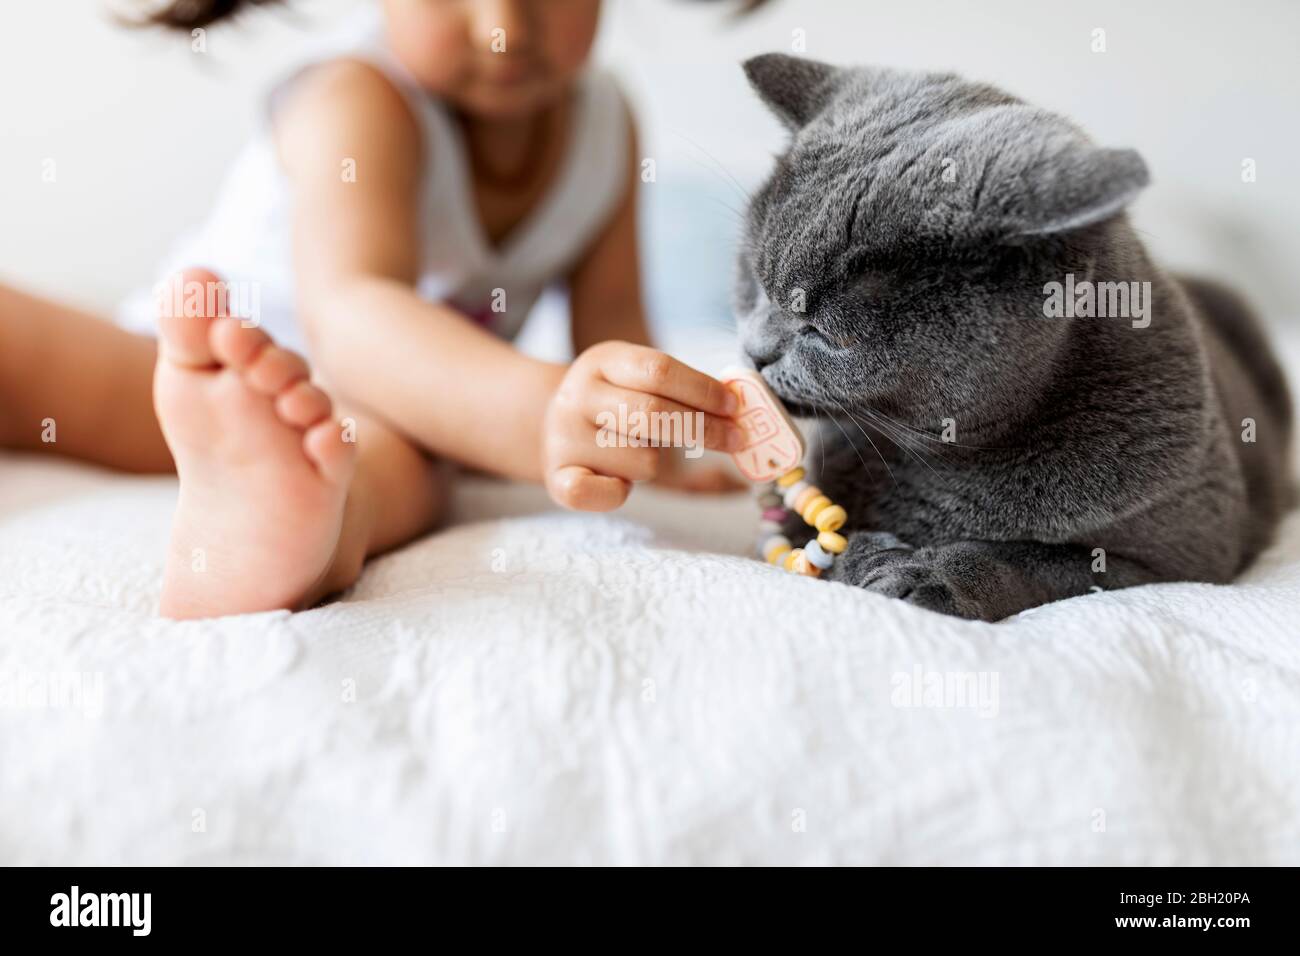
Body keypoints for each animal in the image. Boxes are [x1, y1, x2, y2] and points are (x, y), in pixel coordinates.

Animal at [738, 54, 1294, 621]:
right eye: (757, 284)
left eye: (826, 334)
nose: (753, 353)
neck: (947, 457)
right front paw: (872, 555)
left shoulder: (1181, 556)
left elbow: (1029, 559)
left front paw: (929, 575)